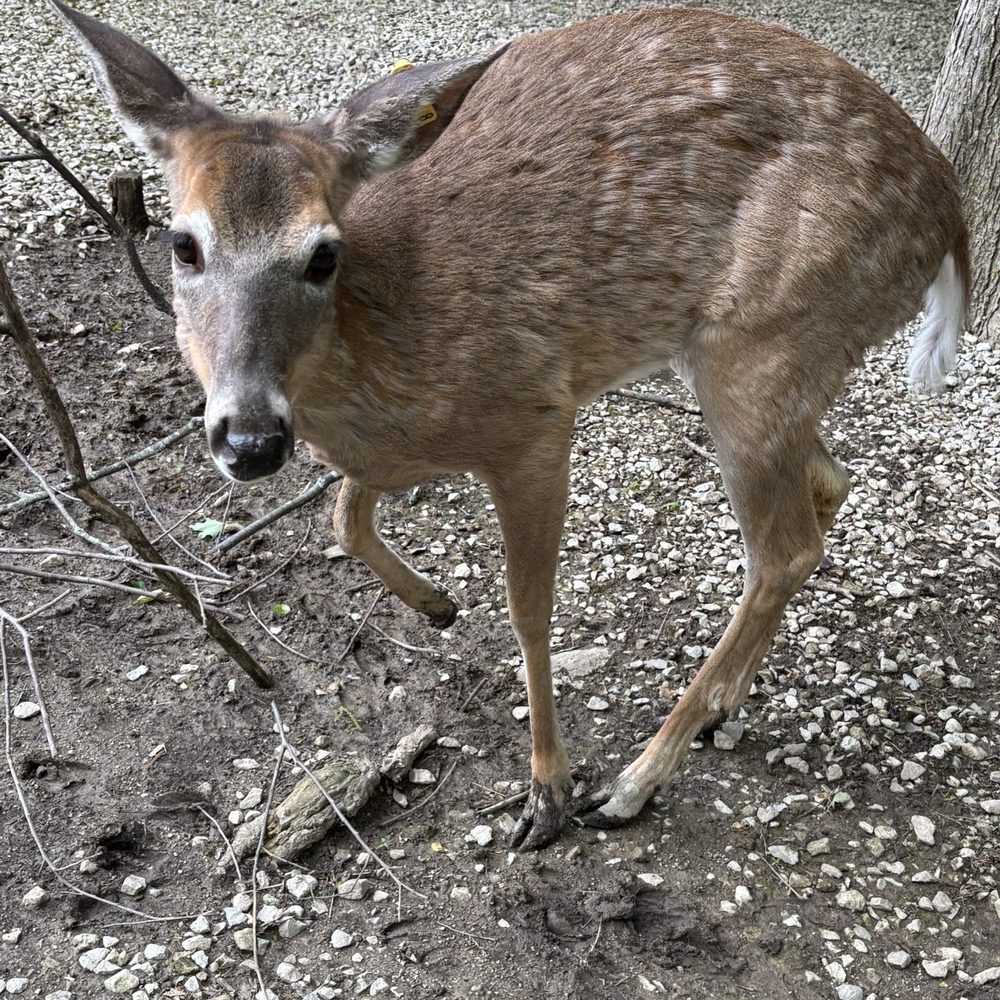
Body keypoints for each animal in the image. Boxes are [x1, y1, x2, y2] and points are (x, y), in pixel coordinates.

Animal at [53, 1, 968, 850]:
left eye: (321, 254)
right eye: (182, 243)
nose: (250, 438)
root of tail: (951, 216)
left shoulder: (534, 418)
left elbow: (529, 609)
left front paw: (548, 793)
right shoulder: (388, 452)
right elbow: (344, 514)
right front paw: (436, 605)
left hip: (762, 342)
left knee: (784, 548)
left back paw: (634, 781)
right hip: (776, 362)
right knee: (828, 483)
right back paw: (719, 707)